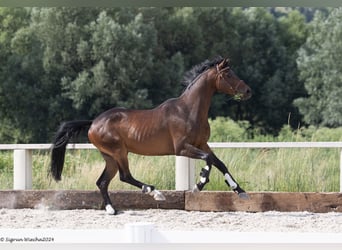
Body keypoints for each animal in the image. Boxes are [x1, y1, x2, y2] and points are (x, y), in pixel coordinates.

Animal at [51, 57, 254, 215]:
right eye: (228, 75)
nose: (248, 91)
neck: (189, 110)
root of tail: (93, 122)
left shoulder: (202, 143)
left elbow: (219, 162)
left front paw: (240, 190)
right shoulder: (182, 149)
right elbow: (208, 160)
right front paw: (199, 184)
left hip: (109, 157)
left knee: (102, 182)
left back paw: (111, 209)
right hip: (119, 152)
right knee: (125, 176)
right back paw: (155, 192)